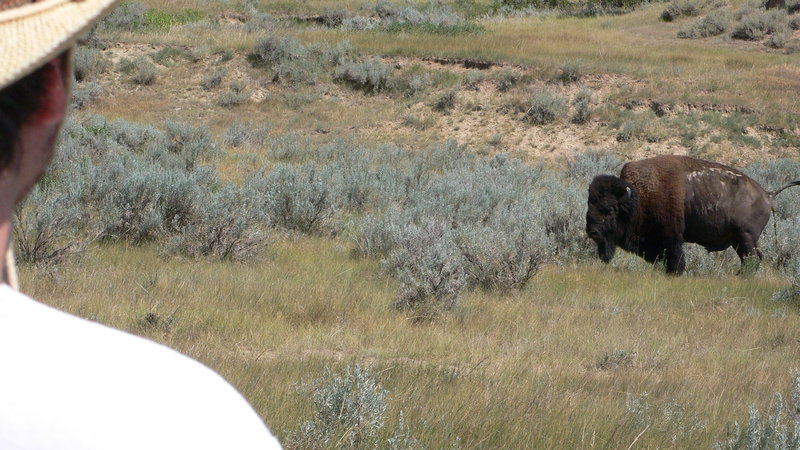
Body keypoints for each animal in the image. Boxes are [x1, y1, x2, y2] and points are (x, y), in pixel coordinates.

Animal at [584, 155, 796, 274]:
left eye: (610, 210)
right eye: (589, 203)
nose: (592, 232)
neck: (638, 198)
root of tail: (767, 194)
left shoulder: (672, 238)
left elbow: (676, 260)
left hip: (746, 237)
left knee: (752, 259)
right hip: (739, 240)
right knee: (749, 258)